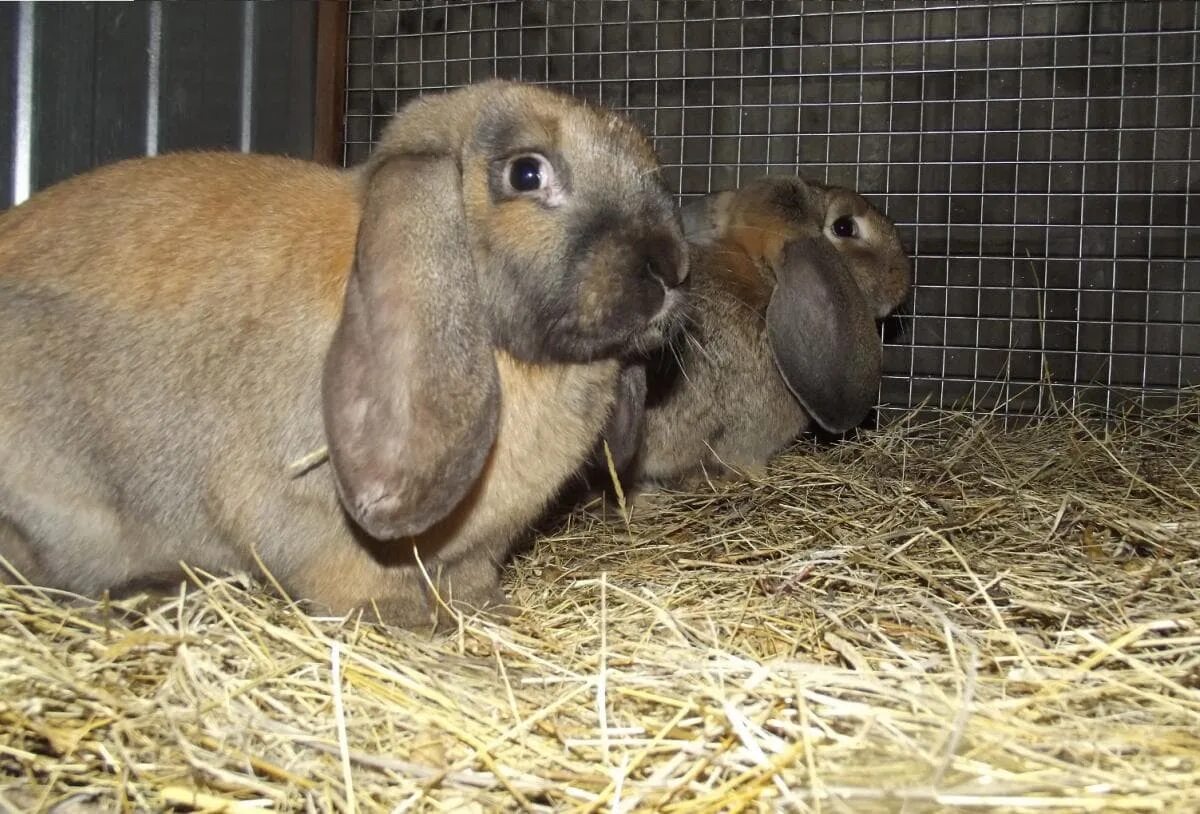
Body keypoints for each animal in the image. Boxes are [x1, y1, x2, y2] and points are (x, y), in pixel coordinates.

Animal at [0, 79, 691, 629]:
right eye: (527, 173)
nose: (670, 268)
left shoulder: (478, 549)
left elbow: (470, 578)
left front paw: (485, 613)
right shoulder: (311, 519)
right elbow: (353, 575)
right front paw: (406, 622)